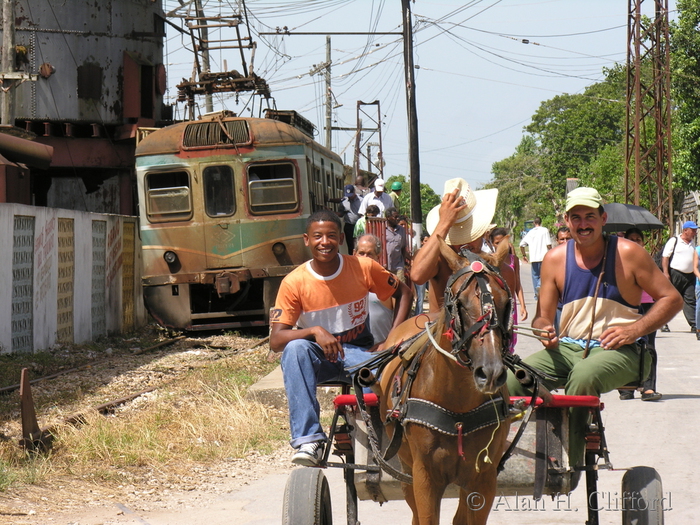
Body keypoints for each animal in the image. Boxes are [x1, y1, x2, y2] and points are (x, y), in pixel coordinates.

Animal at [374, 237, 512, 524]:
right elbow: (426, 516)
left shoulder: (484, 478)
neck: (457, 407)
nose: (491, 372)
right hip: (406, 469)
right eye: (460, 304)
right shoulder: (425, 477)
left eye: (506, 303)